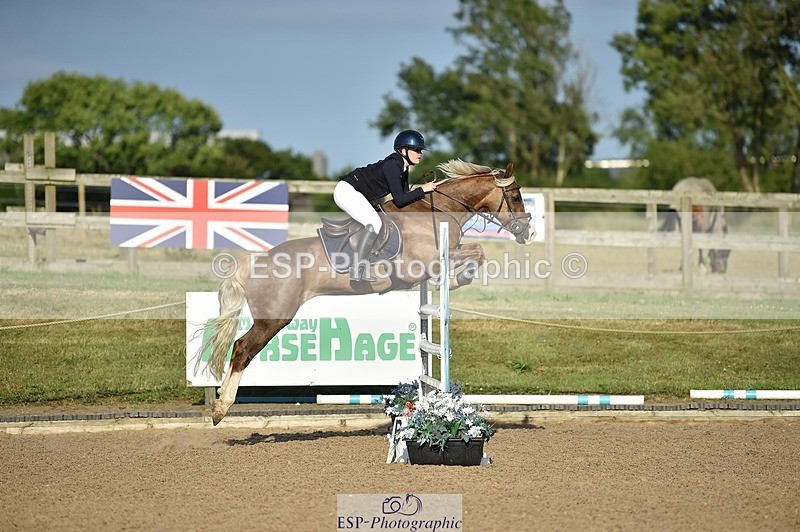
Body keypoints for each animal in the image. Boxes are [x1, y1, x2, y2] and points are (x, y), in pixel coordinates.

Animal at [200, 159, 534, 425]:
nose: (528, 233)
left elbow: (477, 251)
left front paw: (457, 278)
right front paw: (454, 280)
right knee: (242, 349)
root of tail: (255, 262)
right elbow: (476, 252)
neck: (438, 211)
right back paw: (221, 407)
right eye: (517, 195)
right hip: (274, 318)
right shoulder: (423, 264)